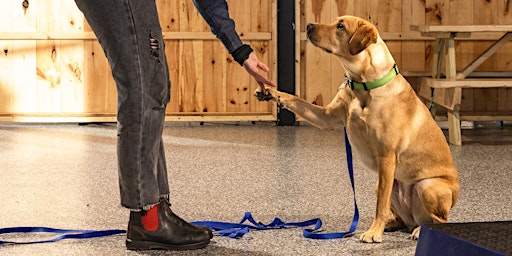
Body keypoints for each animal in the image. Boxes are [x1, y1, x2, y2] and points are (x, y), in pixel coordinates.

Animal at [256, 15, 460, 243]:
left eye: (340, 26)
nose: (308, 26)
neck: (363, 83)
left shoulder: (386, 157)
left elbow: (381, 205)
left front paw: (374, 232)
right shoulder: (327, 118)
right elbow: (294, 99)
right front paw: (270, 91)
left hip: (427, 186)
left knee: (439, 220)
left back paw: (418, 231)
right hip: (388, 184)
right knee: (402, 218)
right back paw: (393, 224)